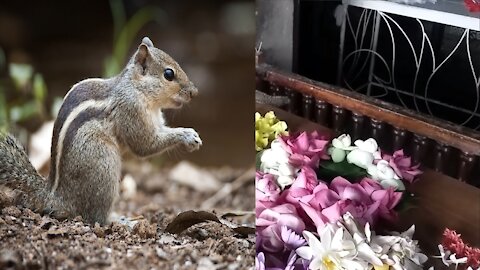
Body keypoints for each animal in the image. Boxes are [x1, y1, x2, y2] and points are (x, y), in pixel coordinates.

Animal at [0, 37, 202, 225]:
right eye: (168, 74)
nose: (195, 92)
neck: (136, 89)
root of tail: (57, 197)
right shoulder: (131, 111)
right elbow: (144, 145)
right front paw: (188, 135)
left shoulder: (156, 121)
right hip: (105, 167)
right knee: (95, 217)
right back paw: (122, 221)